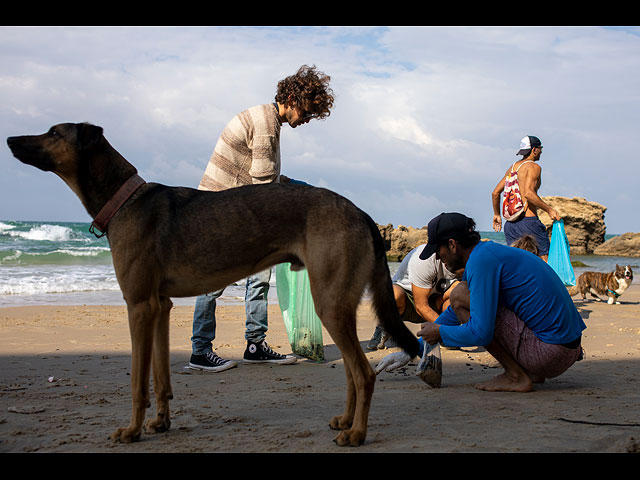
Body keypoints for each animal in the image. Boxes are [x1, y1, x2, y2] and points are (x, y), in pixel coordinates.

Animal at [8, 122, 420, 444]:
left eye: (53, 133)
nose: (10, 140)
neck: (124, 200)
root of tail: (361, 212)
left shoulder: (138, 306)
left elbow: (138, 382)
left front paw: (132, 430)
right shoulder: (159, 307)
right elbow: (160, 376)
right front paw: (161, 422)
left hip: (330, 302)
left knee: (364, 374)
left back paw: (357, 434)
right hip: (336, 304)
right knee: (352, 372)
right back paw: (346, 421)